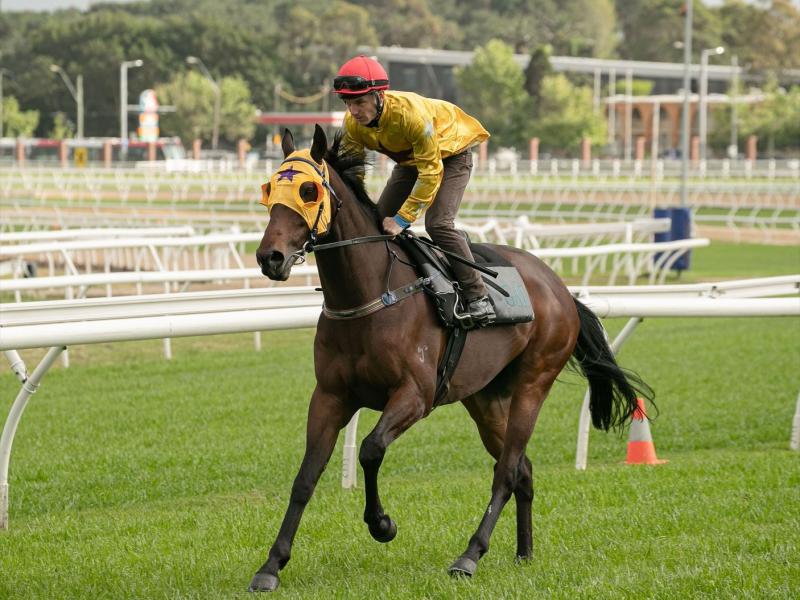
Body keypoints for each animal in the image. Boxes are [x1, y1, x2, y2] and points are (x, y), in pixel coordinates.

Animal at [253, 125, 652, 592]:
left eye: (308, 190)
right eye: (268, 189)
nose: (270, 257)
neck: (370, 295)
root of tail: (560, 289)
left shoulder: (415, 395)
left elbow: (370, 449)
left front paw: (382, 524)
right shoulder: (330, 396)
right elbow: (306, 476)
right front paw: (271, 565)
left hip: (534, 383)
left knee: (506, 471)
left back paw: (470, 555)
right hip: (484, 398)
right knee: (522, 468)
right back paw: (524, 552)